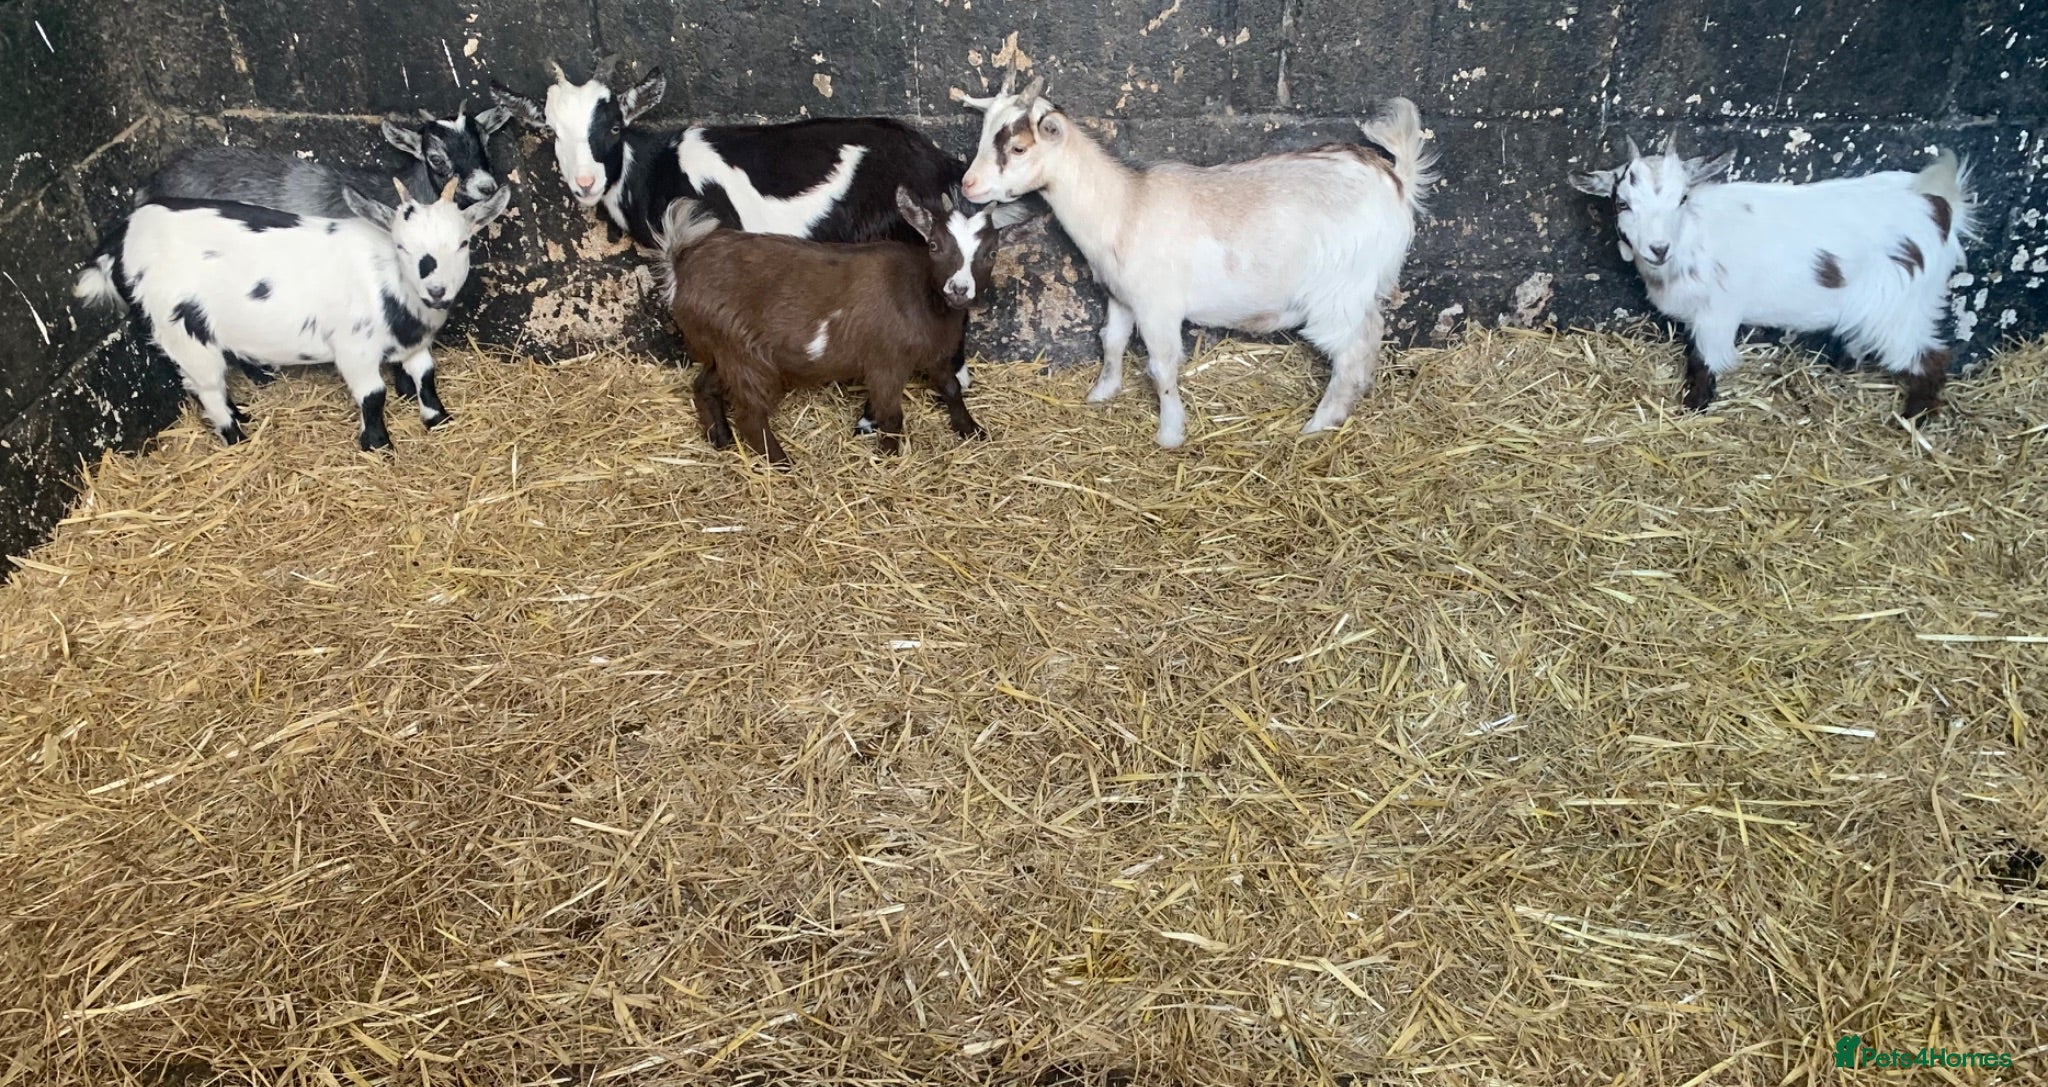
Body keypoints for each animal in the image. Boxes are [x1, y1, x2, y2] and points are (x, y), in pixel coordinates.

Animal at [73, 178, 512, 451]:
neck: (388, 281)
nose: (436, 290)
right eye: (401, 245)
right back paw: (235, 436)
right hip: (181, 331)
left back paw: (242, 413)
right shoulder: (353, 349)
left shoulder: (413, 343)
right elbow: (373, 396)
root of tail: (120, 239)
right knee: (207, 386)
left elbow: (425, 376)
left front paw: (438, 419)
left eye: (464, 242)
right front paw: (378, 445)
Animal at [659, 186, 1037, 468]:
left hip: (721, 349)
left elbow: (951, 388)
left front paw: (971, 430)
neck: (922, 295)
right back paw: (783, 464)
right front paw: (889, 457)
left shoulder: (933, 354)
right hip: (747, 356)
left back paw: (720, 439)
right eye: (933, 245)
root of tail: (682, 266)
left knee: (703, 386)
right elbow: (891, 415)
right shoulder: (886, 362)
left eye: (991, 253)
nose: (959, 289)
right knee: (751, 416)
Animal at [958, 60, 1435, 448]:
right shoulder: (1121, 295)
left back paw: (1319, 424)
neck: (1125, 204)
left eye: (1018, 147)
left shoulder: (1158, 306)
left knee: (1352, 351)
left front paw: (1170, 433)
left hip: (1340, 290)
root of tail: (1396, 180)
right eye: (982, 135)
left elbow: (1162, 367)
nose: (968, 185)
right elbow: (1111, 341)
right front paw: (1102, 392)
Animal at [1570, 133, 1975, 420]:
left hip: (1902, 307)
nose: (1658, 248)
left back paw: (1911, 419)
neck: (1692, 237)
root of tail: (1939, 206)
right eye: (1623, 203)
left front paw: (1693, 409)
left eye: (1682, 198)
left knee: (1931, 357)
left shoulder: (1717, 313)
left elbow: (1702, 362)